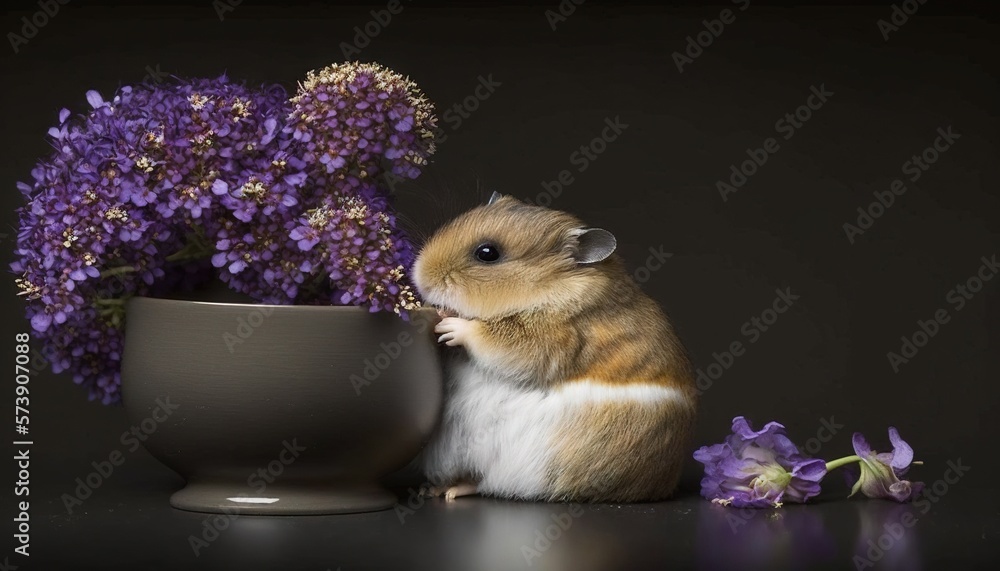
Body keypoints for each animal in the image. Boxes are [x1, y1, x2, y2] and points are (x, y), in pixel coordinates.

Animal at [412, 194, 696, 502]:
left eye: (487, 253)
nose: (418, 276)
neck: (547, 290)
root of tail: (665, 485)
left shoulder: (552, 341)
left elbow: (493, 338)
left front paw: (450, 325)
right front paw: (437, 312)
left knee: (489, 483)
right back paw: (438, 491)